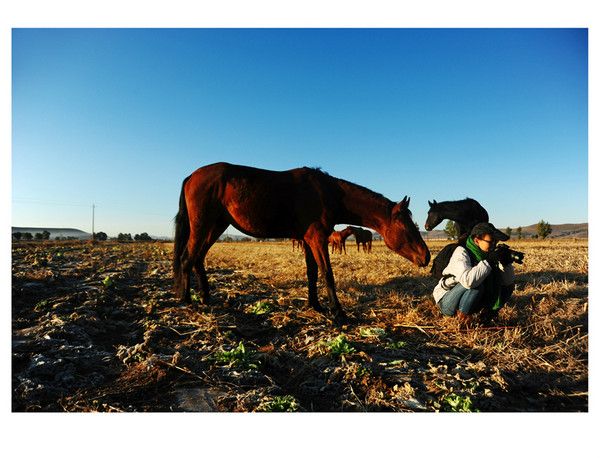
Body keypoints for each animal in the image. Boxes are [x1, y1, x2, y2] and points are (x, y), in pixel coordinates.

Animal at [173, 163, 432, 320]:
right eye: (408, 227)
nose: (426, 256)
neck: (327, 193)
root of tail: (191, 176)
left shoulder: (308, 240)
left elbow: (312, 273)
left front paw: (315, 305)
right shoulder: (317, 239)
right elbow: (327, 273)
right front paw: (338, 313)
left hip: (216, 226)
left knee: (198, 258)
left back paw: (206, 298)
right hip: (203, 226)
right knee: (187, 258)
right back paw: (187, 301)